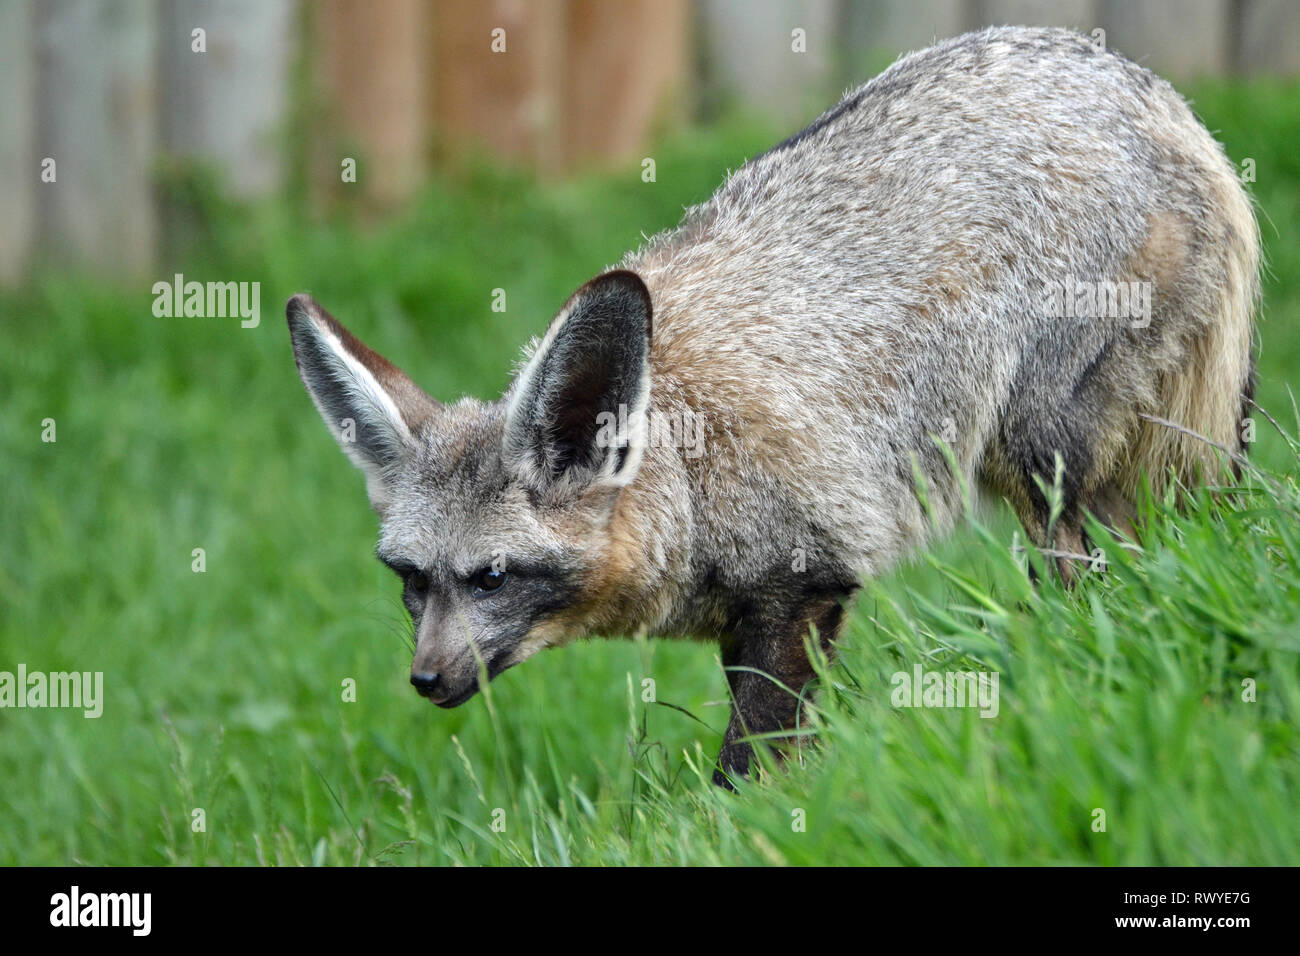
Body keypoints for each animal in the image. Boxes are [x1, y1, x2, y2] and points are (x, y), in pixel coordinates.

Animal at [287, 26, 1258, 790]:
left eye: (492, 578)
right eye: (411, 580)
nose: (425, 680)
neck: (687, 463)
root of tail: (1158, 96)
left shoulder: (805, 583)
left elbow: (749, 763)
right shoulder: (749, 612)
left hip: (1042, 460)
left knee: (1092, 578)